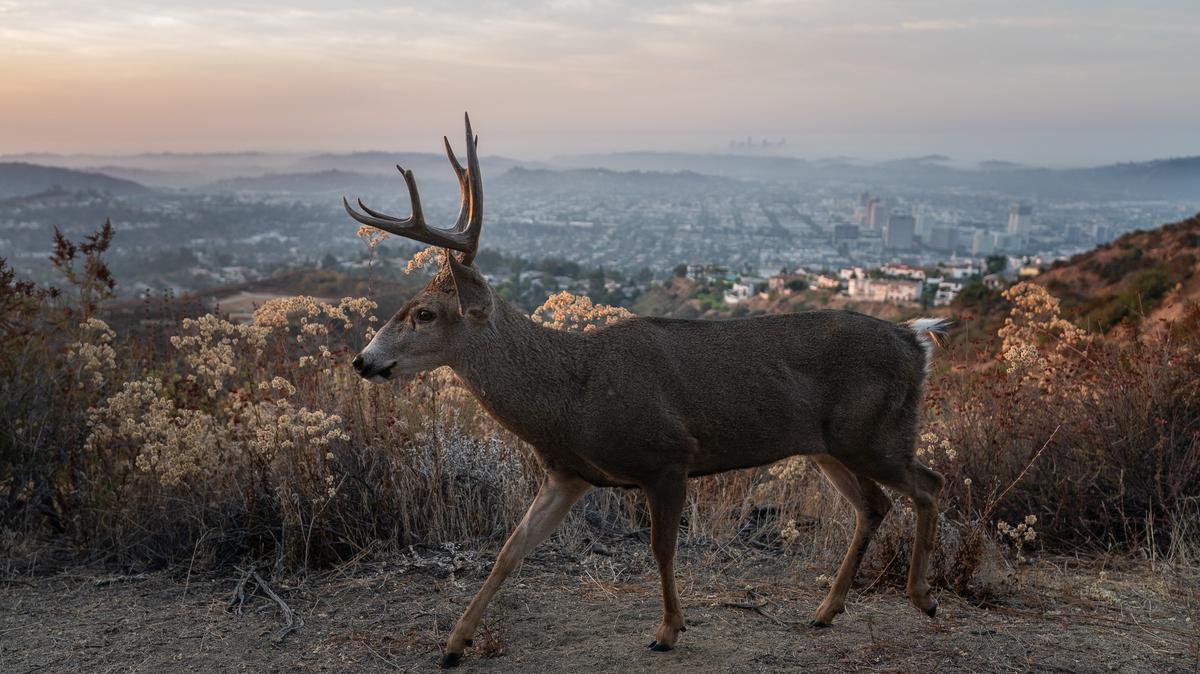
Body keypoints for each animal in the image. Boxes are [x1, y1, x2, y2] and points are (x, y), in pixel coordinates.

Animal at [345, 114, 949, 668]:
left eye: (425, 313)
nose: (363, 360)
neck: (572, 395)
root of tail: (914, 339)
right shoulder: (568, 473)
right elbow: (510, 551)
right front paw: (454, 643)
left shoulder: (667, 457)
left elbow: (661, 549)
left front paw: (668, 631)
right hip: (828, 446)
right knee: (875, 504)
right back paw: (826, 610)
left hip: (876, 433)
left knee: (929, 484)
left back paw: (923, 597)